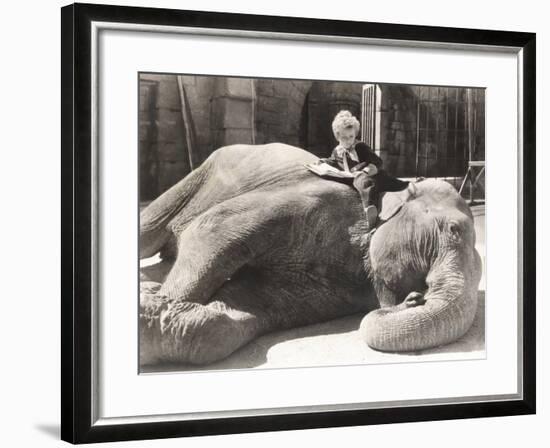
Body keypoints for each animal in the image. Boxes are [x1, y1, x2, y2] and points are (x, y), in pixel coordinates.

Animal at [139, 145, 484, 366]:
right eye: (453, 229)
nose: (415, 298)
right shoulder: (307, 199)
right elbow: (212, 229)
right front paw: (151, 305)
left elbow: (250, 305)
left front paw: (159, 305)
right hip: (200, 175)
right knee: (149, 231)